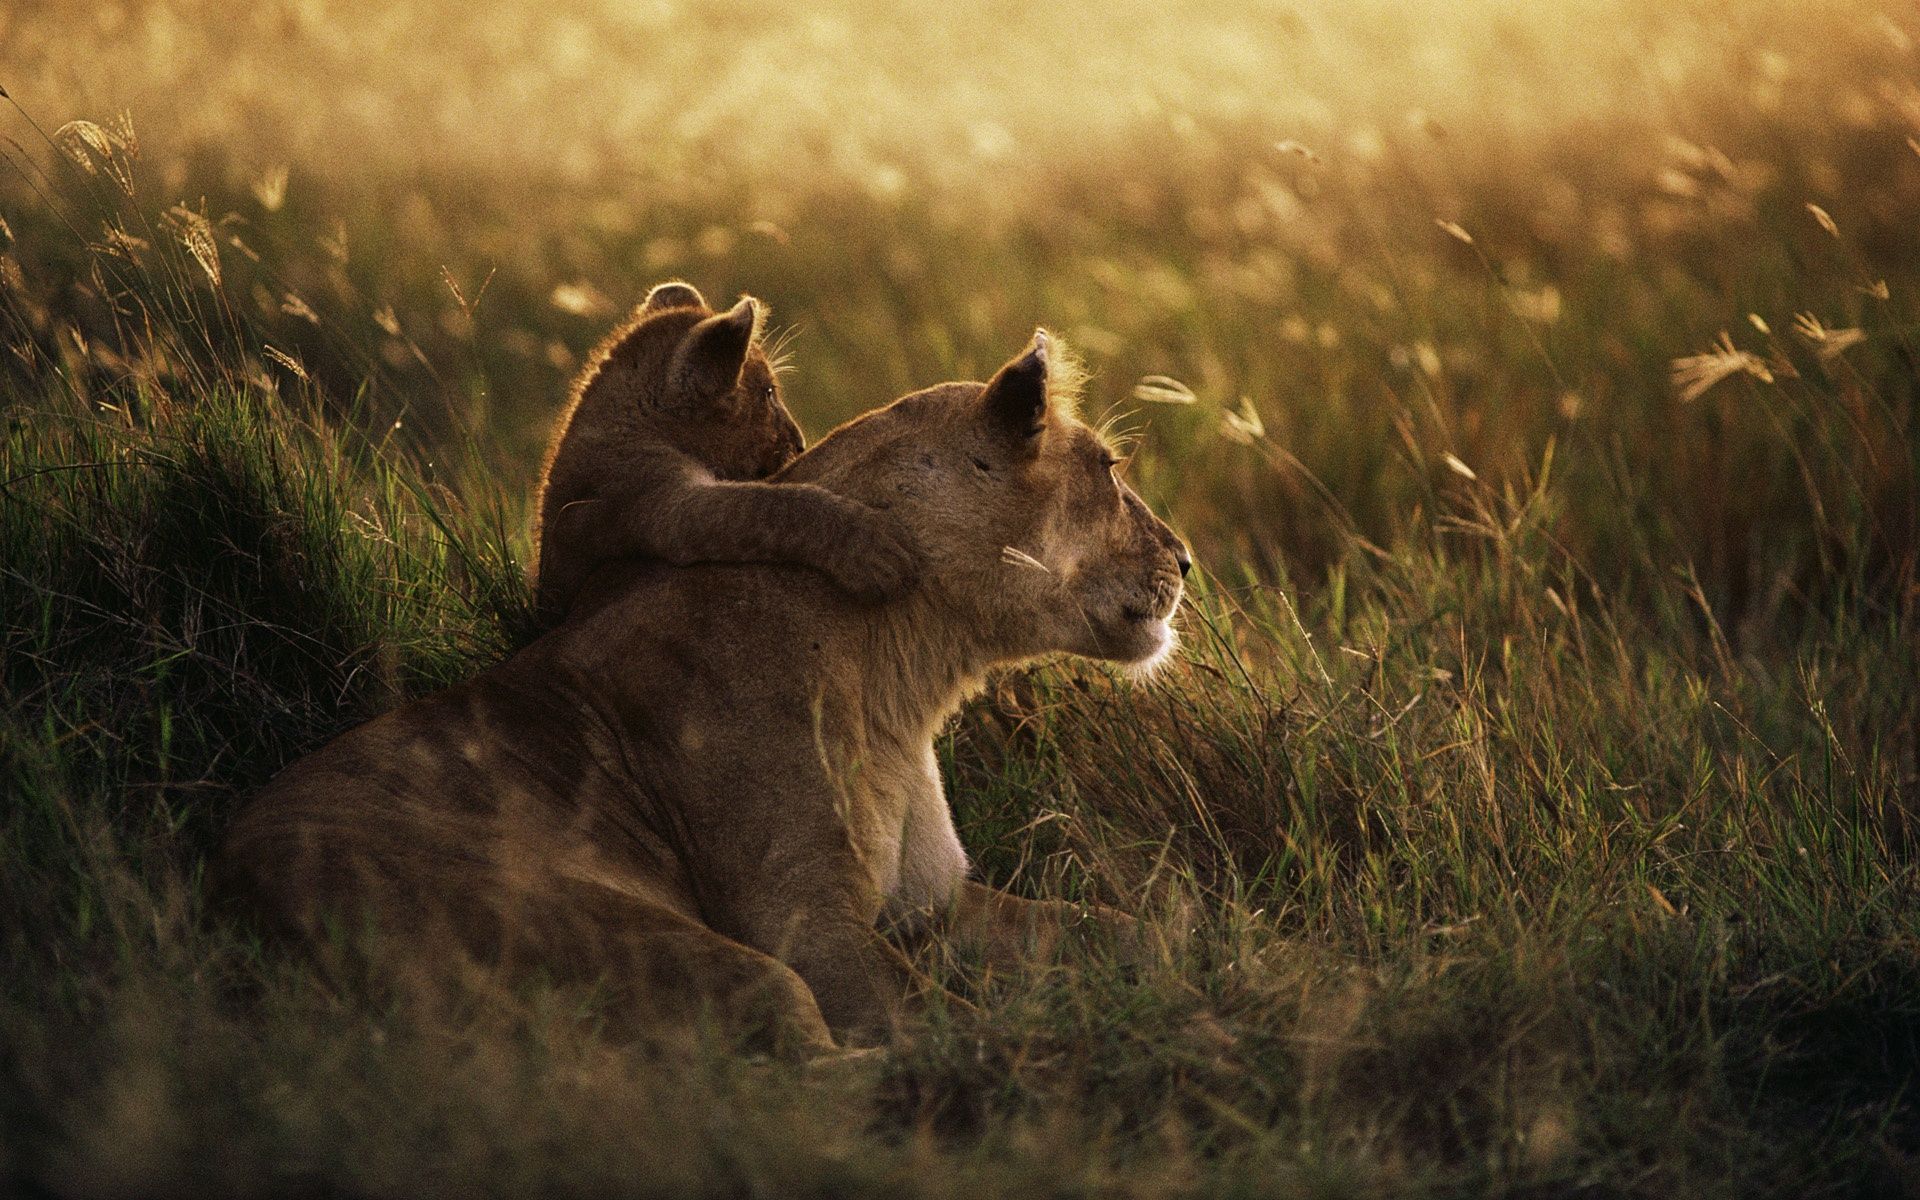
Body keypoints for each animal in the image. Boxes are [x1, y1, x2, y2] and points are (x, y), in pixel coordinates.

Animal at [218, 330, 1191, 1052]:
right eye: (1110, 469)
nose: (1185, 560)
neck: (907, 673)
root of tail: (230, 897)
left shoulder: (935, 904)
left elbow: (1125, 927)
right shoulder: (805, 923)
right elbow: (946, 1024)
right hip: (660, 943)